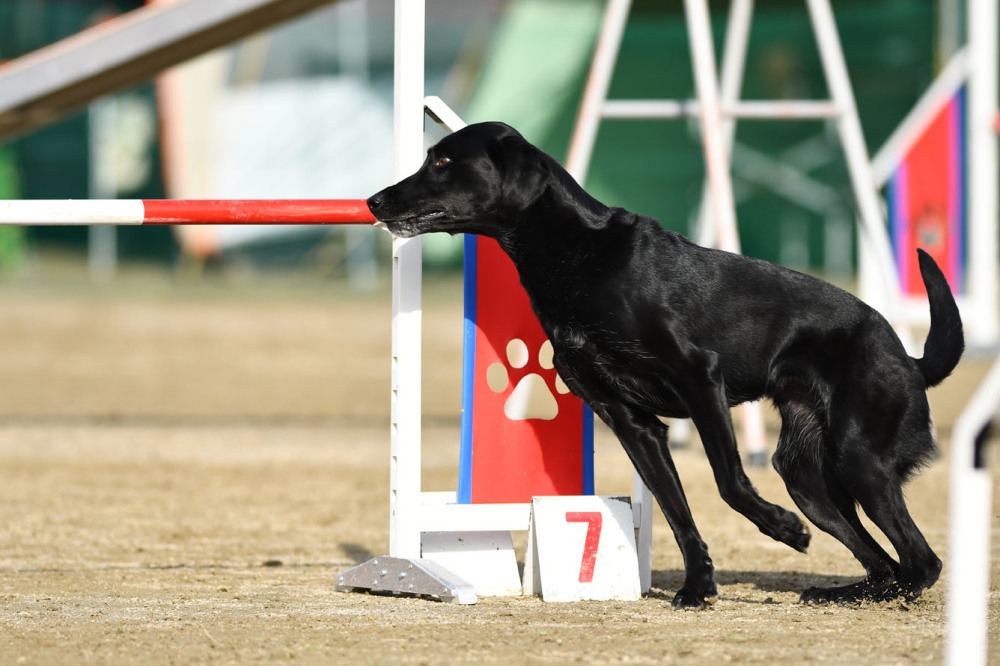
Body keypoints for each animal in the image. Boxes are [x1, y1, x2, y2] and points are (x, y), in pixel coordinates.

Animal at [366, 119, 960, 608]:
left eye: (443, 161)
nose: (373, 201)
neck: (578, 258)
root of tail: (909, 359)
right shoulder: (632, 421)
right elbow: (676, 511)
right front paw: (699, 587)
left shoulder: (700, 380)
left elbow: (729, 482)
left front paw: (782, 531)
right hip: (808, 478)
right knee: (884, 560)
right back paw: (846, 594)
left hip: (857, 457)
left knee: (922, 562)